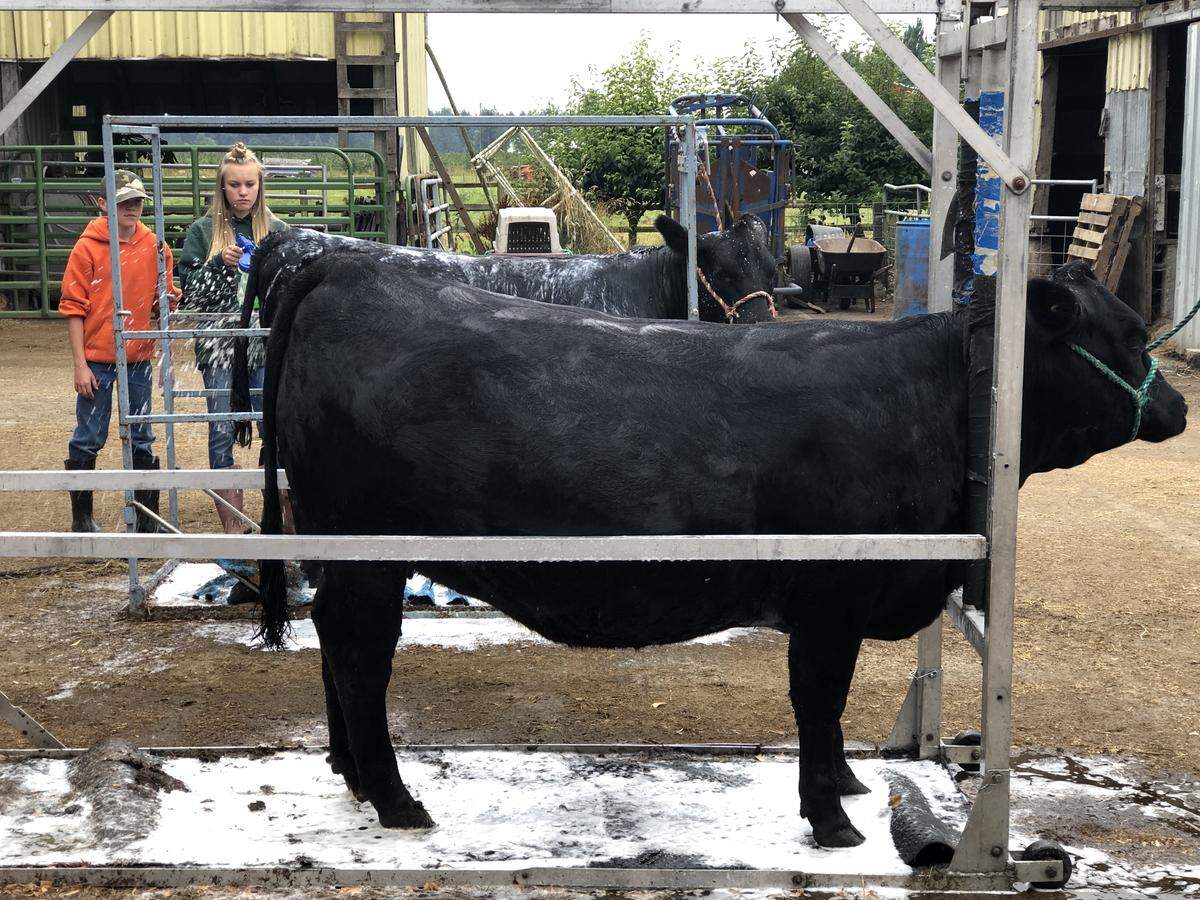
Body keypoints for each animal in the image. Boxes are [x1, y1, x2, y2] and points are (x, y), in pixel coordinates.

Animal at [253, 257, 1185, 849]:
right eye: (1128, 334)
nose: (1176, 409)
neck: (929, 396)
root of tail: (345, 269)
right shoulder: (830, 597)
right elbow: (818, 699)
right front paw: (832, 818)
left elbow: (829, 711)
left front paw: (847, 786)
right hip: (370, 554)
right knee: (361, 654)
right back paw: (395, 797)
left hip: (341, 550)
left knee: (336, 643)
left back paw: (352, 774)